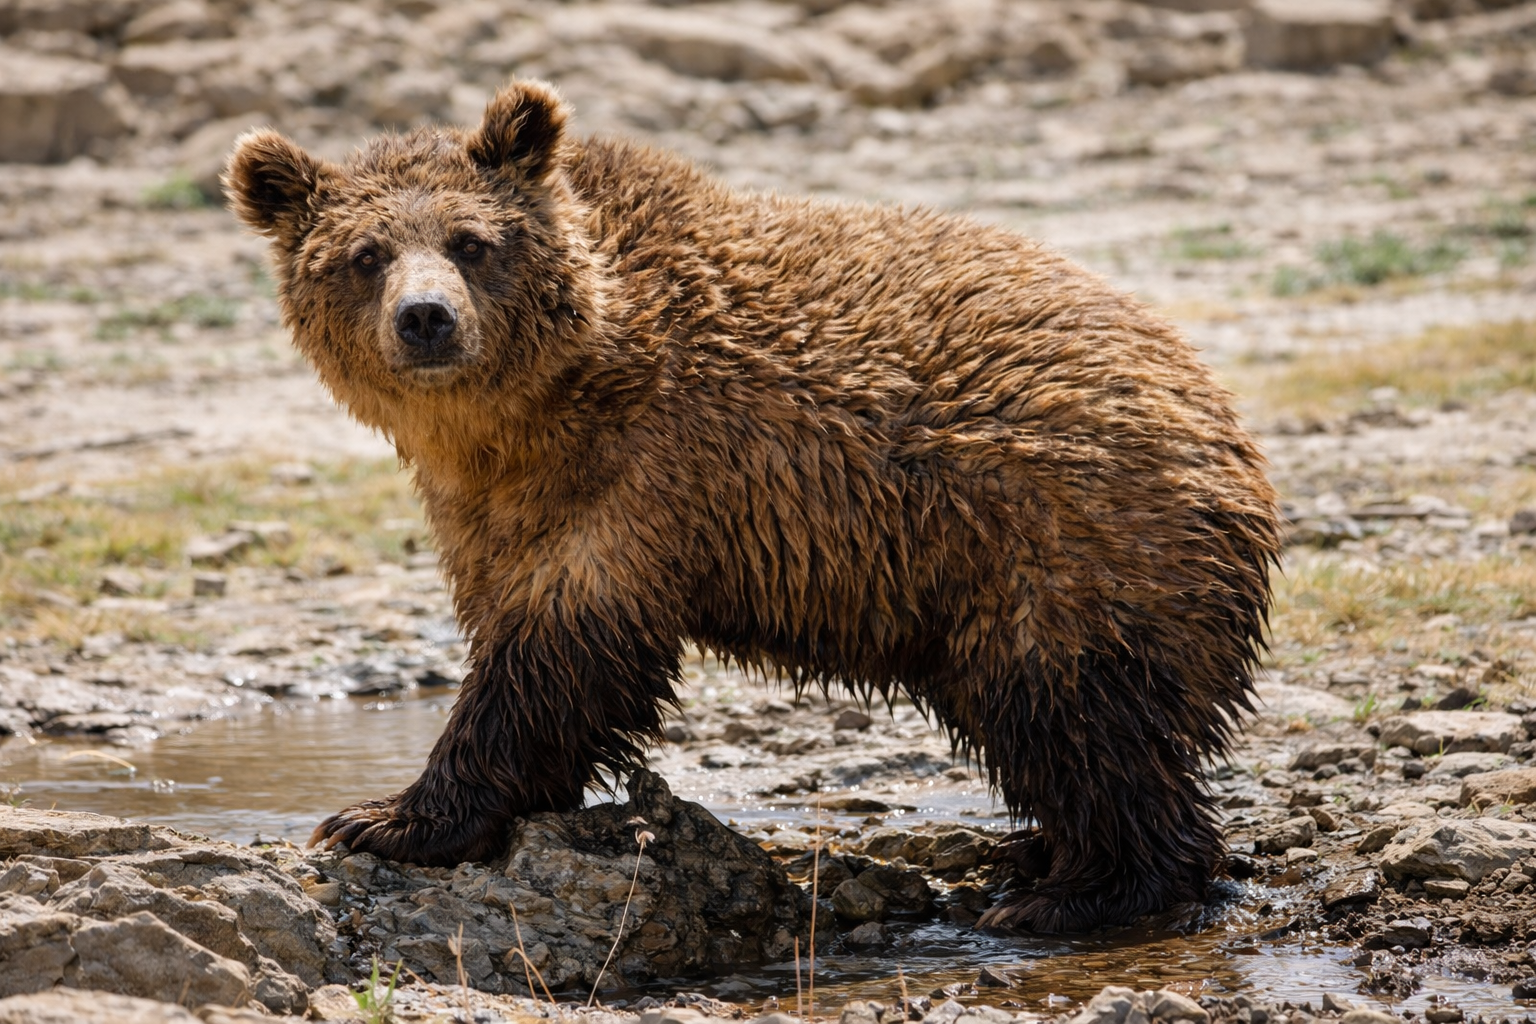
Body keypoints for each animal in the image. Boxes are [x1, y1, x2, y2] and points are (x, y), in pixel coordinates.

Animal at [225, 79, 1282, 934]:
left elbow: (557, 657)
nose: (427, 318)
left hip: (1062, 539)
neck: (537, 410)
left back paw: (1077, 892)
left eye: (471, 241)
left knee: (1074, 714)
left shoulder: (642, 478)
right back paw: (1037, 859)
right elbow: (537, 652)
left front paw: (381, 819)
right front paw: (402, 814)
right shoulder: (505, 508)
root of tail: (1215, 407)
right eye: (364, 254)